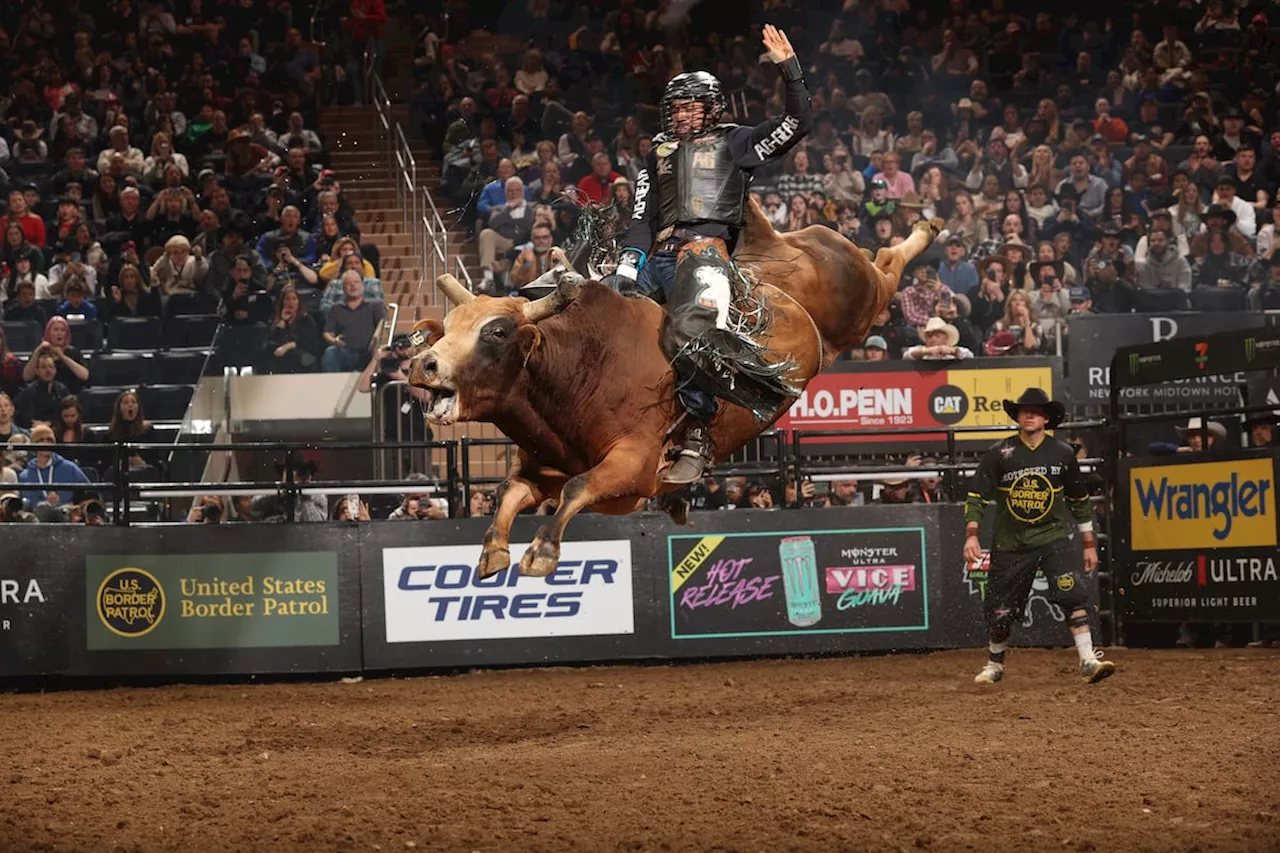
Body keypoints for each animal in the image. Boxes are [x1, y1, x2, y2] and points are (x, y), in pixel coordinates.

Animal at [407, 195, 942, 573]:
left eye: (496, 331)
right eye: (447, 326)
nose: (423, 365)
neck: (580, 371)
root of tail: (773, 247)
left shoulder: (634, 464)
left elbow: (580, 486)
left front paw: (542, 551)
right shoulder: (543, 469)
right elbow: (509, 493)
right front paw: (493, 551)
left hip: (862, 296)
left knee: (888, 261)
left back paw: (924, 228)